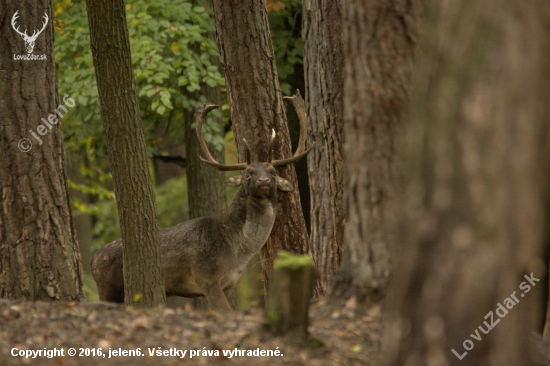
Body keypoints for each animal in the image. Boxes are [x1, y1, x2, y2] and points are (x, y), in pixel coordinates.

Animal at [92, 91, 312, 312]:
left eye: (273, 173)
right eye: (248, 174)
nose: (264, 181)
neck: (238, 254)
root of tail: (94, 258)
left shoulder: (229, 284)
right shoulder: (206, 278)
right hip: (108, 288)